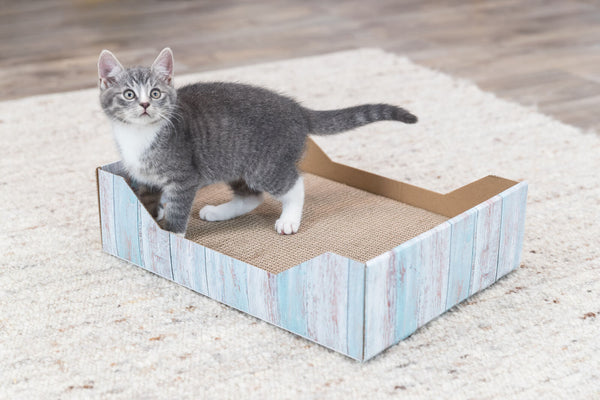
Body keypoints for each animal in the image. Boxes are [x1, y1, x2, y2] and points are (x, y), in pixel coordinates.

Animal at [98, 47, 418, 234]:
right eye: (129, 94)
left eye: (155, 93)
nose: (144, 105)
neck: (139, 135)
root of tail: (297, 109)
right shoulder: (144, 176)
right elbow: (149, 197)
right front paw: (154, 212)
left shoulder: (184, 176)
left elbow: (177, 211)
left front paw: (170, 236)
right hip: (234, 163)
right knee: (251, 196)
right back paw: (219, 212)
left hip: (265, 164)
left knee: (293, 184)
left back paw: (289, 219)